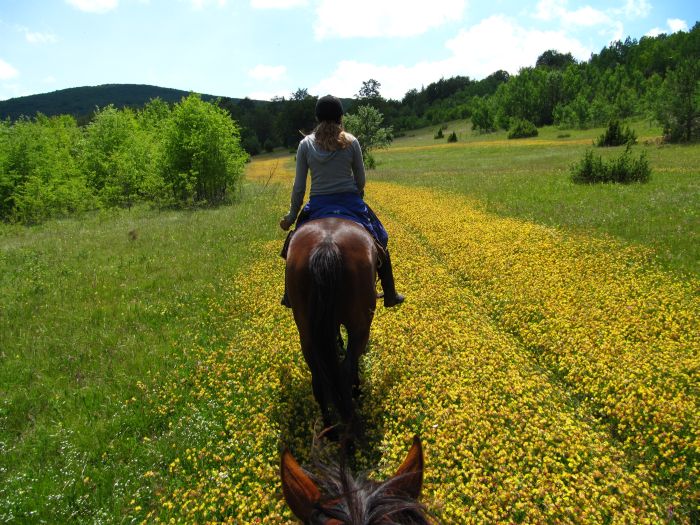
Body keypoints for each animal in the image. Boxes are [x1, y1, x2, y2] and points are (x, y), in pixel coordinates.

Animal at [284, 215, 378, 436]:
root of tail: (327, 244)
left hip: (306, 332)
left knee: (319, 378)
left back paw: (330, 432)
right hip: (360, 326)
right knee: (345, 371)